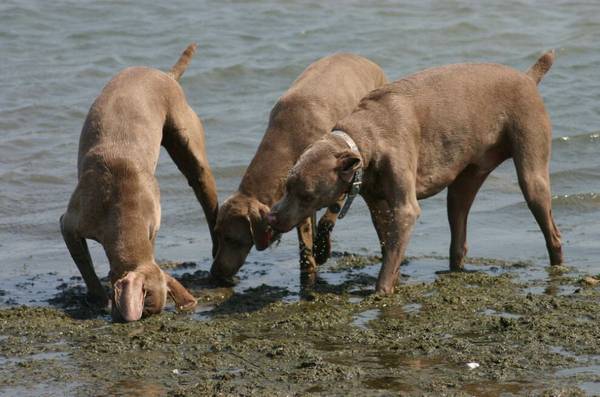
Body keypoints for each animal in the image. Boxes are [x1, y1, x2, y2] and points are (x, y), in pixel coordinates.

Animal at [58, 44, 217, 322]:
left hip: (190, 148)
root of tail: (165, 75)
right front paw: (97, 297)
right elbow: (85, 265)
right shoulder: (69, 225)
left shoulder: (153, 225)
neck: (120, 204)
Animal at [211, 52, 390, 284]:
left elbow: (329, 216)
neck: (287, 137)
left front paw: (321, 251)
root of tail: (363, 59)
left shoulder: (342, 174)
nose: (213, 273)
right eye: (216, 233)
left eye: (233, 239)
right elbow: (304, 234)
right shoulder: (297, 198)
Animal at [268, 51, 564, 294]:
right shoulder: (378, 203)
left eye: (307, 196)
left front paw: (381, 292)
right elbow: (389, 245)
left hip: (531, 169)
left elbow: (392, 250)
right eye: (287, 186)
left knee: (553, 234)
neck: (365, 136)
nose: (271, 217)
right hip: (464, 183)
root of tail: (527, 78)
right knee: (459, 235)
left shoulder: (404, 207)